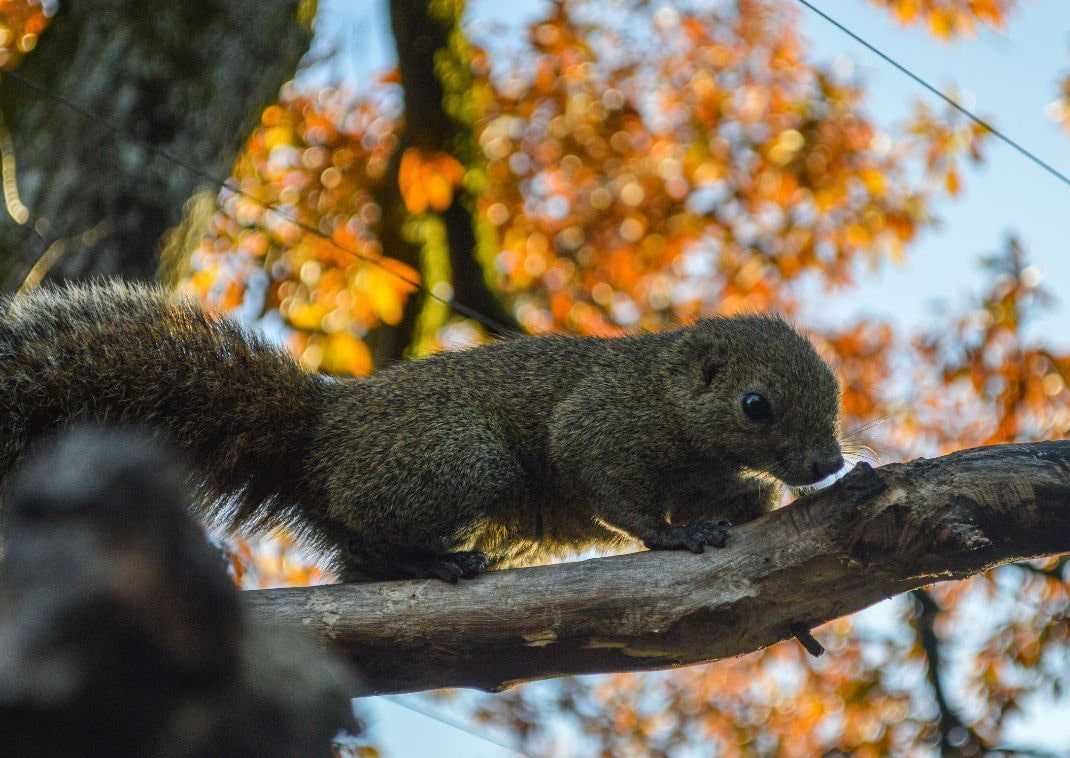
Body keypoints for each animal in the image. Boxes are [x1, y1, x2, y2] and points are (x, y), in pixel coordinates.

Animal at [2, 280, 843, 582]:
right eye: (756, 405)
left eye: (836, 394)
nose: (829, 464)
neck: (669, 399)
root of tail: (319, 437)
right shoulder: (603, 425)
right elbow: (615, 494)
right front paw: (675, 535)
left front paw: (748, 500)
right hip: (462, 462)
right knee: (371, 528)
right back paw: (435, 563)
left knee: (352, 551)